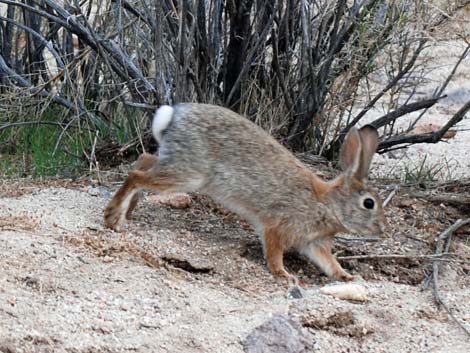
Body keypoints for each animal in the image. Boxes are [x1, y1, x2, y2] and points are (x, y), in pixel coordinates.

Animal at [105, 102, 386, 284]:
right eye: (369, 203)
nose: (382, 229)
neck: (326, 204)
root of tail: (173, 116)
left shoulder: (312, 243)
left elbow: (329, 263)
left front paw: (347, 276)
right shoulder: (278, 227)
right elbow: (274, 253)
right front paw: (284, 275)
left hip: (176, 164)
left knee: (143, 160)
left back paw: (128, 211)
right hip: (189, 174)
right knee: (136, 175)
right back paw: (113, 218)